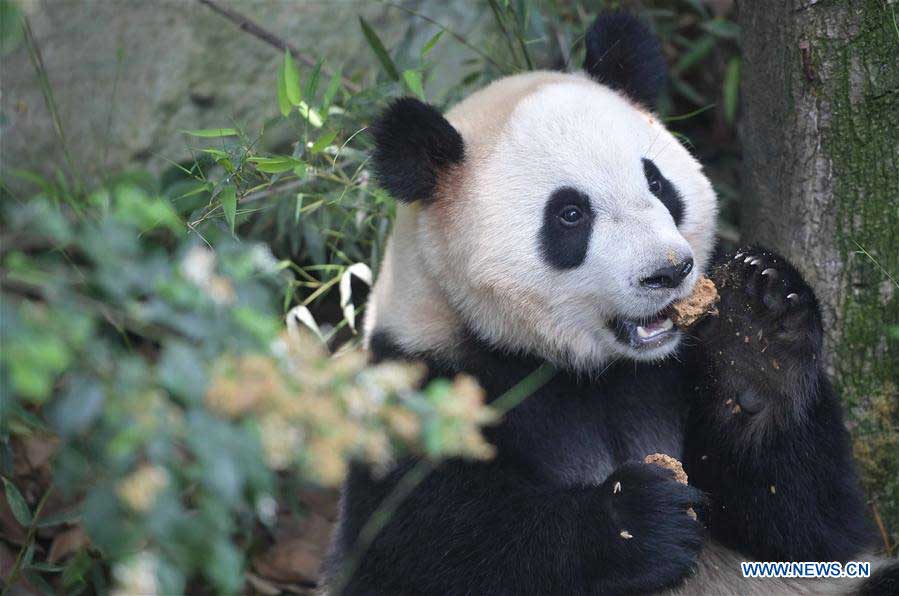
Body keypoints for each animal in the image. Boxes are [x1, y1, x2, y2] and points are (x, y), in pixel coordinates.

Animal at [323, 12, 896, 595]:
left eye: (657, 182)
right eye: (571, 214)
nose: (669, 271)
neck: (593, 369)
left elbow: (809, 525)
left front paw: (758, 340)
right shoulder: (425, 380)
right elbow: (421, 546)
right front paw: (636, 520)